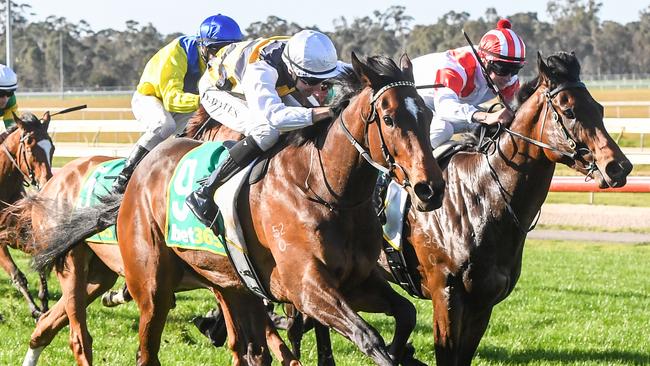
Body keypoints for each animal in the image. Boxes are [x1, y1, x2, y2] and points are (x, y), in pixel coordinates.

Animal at [0, 111, 53, 318]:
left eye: (52, 147)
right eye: (29, 146)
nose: (47, 182)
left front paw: (44, 303)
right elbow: (17, 274)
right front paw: (35, 310)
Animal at [31, 53, 446, 364]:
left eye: (426, 115)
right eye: (389, 119)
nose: (430, 189)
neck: (324, 189)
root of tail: (140, 171)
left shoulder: (357, 281)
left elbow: (406, 314)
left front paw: (404, 349)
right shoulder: (306, 287)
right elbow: (368, 337)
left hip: (228, 282)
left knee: (247, 347)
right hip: (151, 286)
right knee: (143, 349)